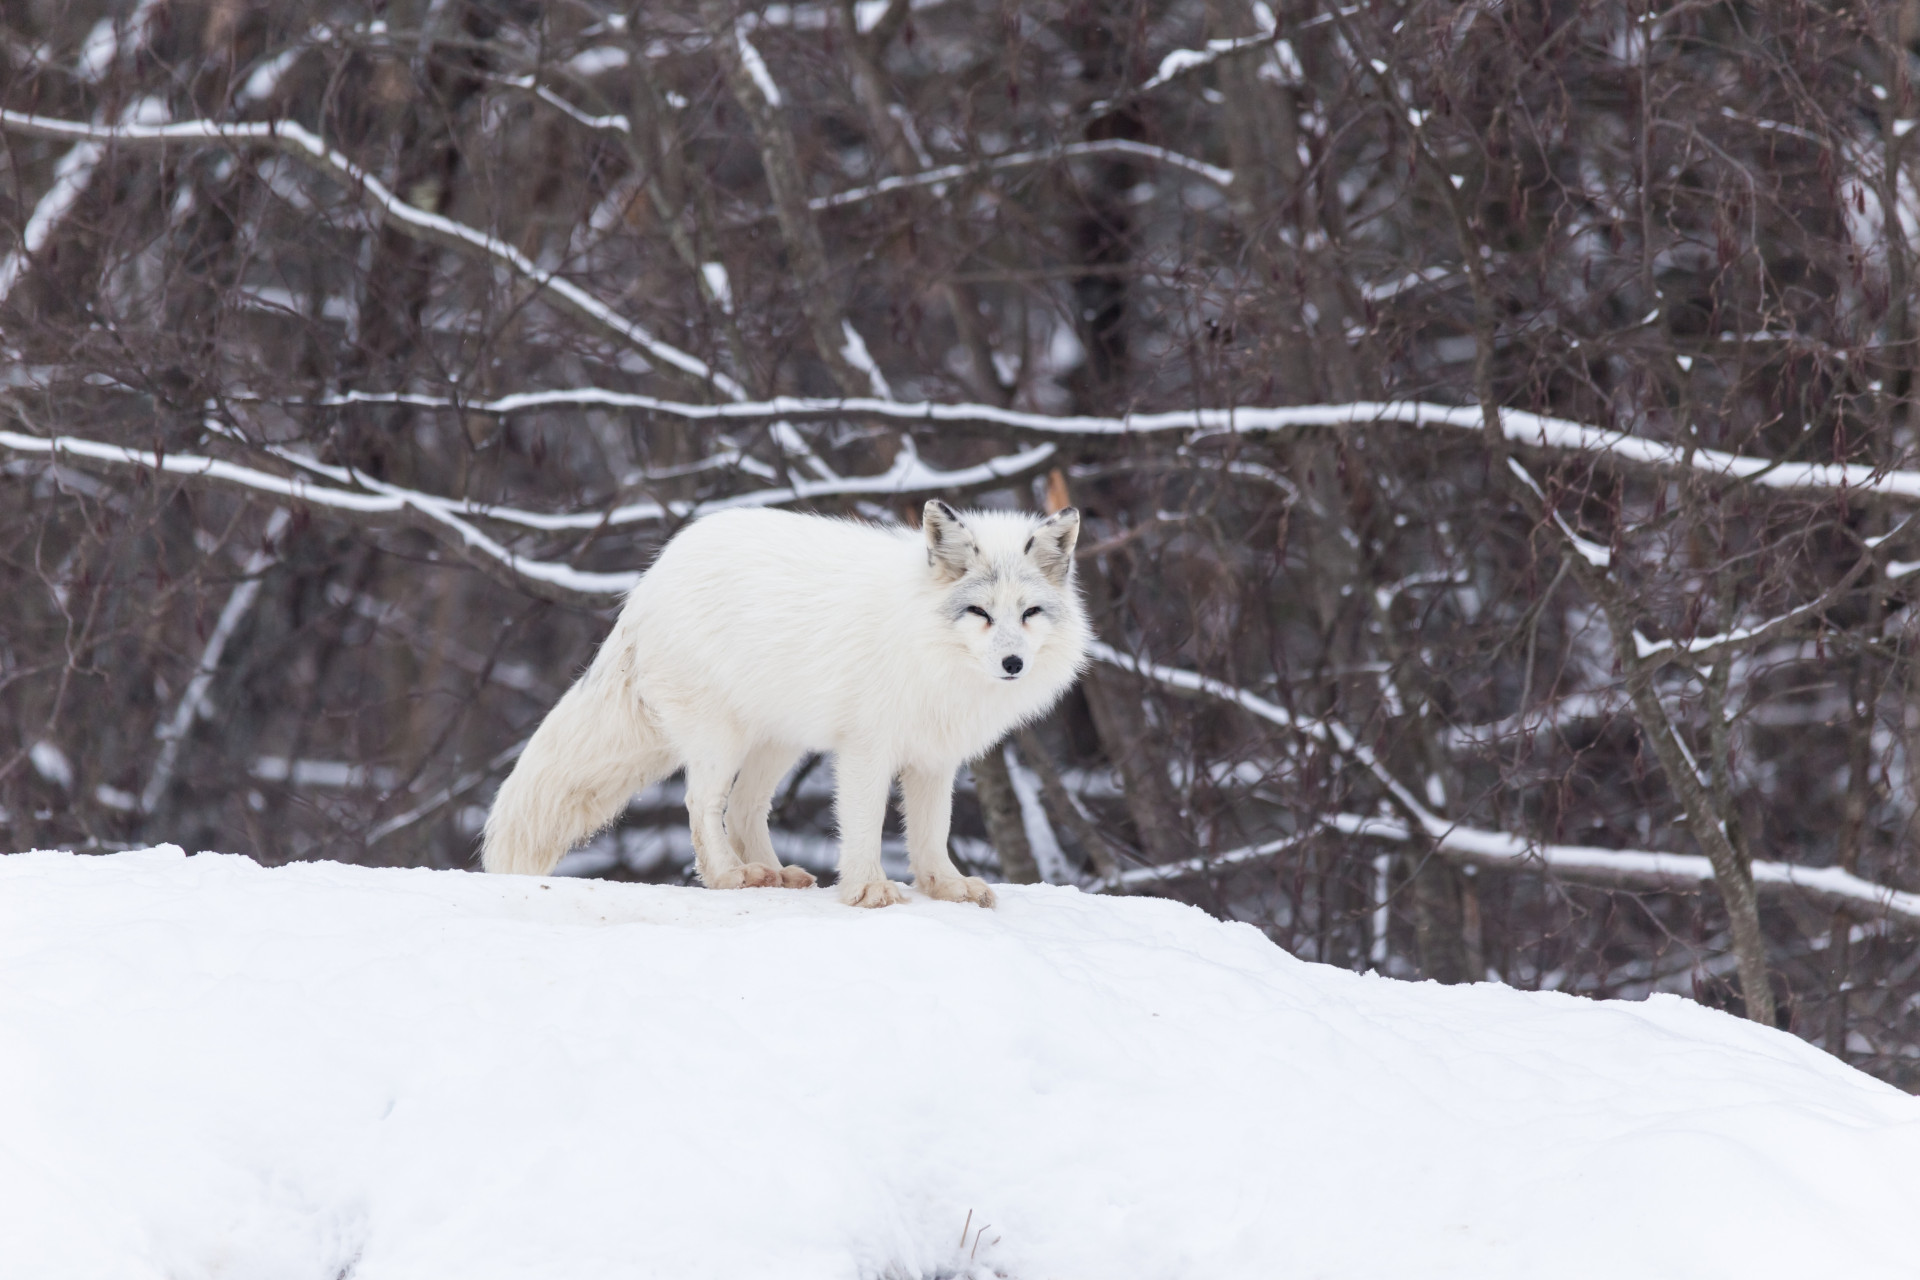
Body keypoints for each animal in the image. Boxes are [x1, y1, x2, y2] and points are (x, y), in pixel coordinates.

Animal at [480, 498, 1090, 909]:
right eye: (979, 613)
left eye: (1030, 613)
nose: (1013, 663)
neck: (927, 646)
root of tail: (645, 586)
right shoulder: (866, 749)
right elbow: (865, 824)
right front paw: (868, 889)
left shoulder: (935, 758)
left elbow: (931, 832)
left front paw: (945, 886)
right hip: (721, 740)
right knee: (702, 804)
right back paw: (730, 876)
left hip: (779, 744)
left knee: (747, 808)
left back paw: (773, 873)